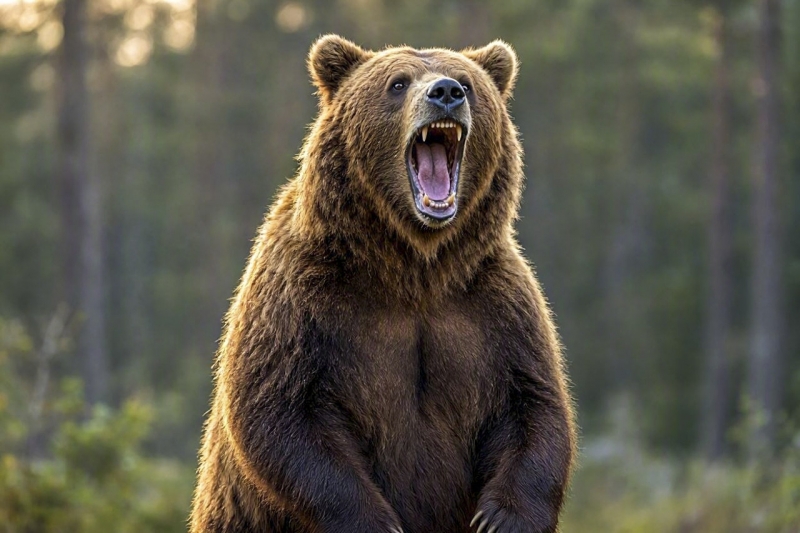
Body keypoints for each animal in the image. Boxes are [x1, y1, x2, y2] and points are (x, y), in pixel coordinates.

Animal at [190, 35, 576, 533]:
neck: (415, 267)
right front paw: (374, 520)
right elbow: (279, 409)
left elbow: (534, 404)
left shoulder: (493, 305)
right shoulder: (300, 298)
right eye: (397, 83)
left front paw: (501, 518)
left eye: (468, 82)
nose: (446, 92)